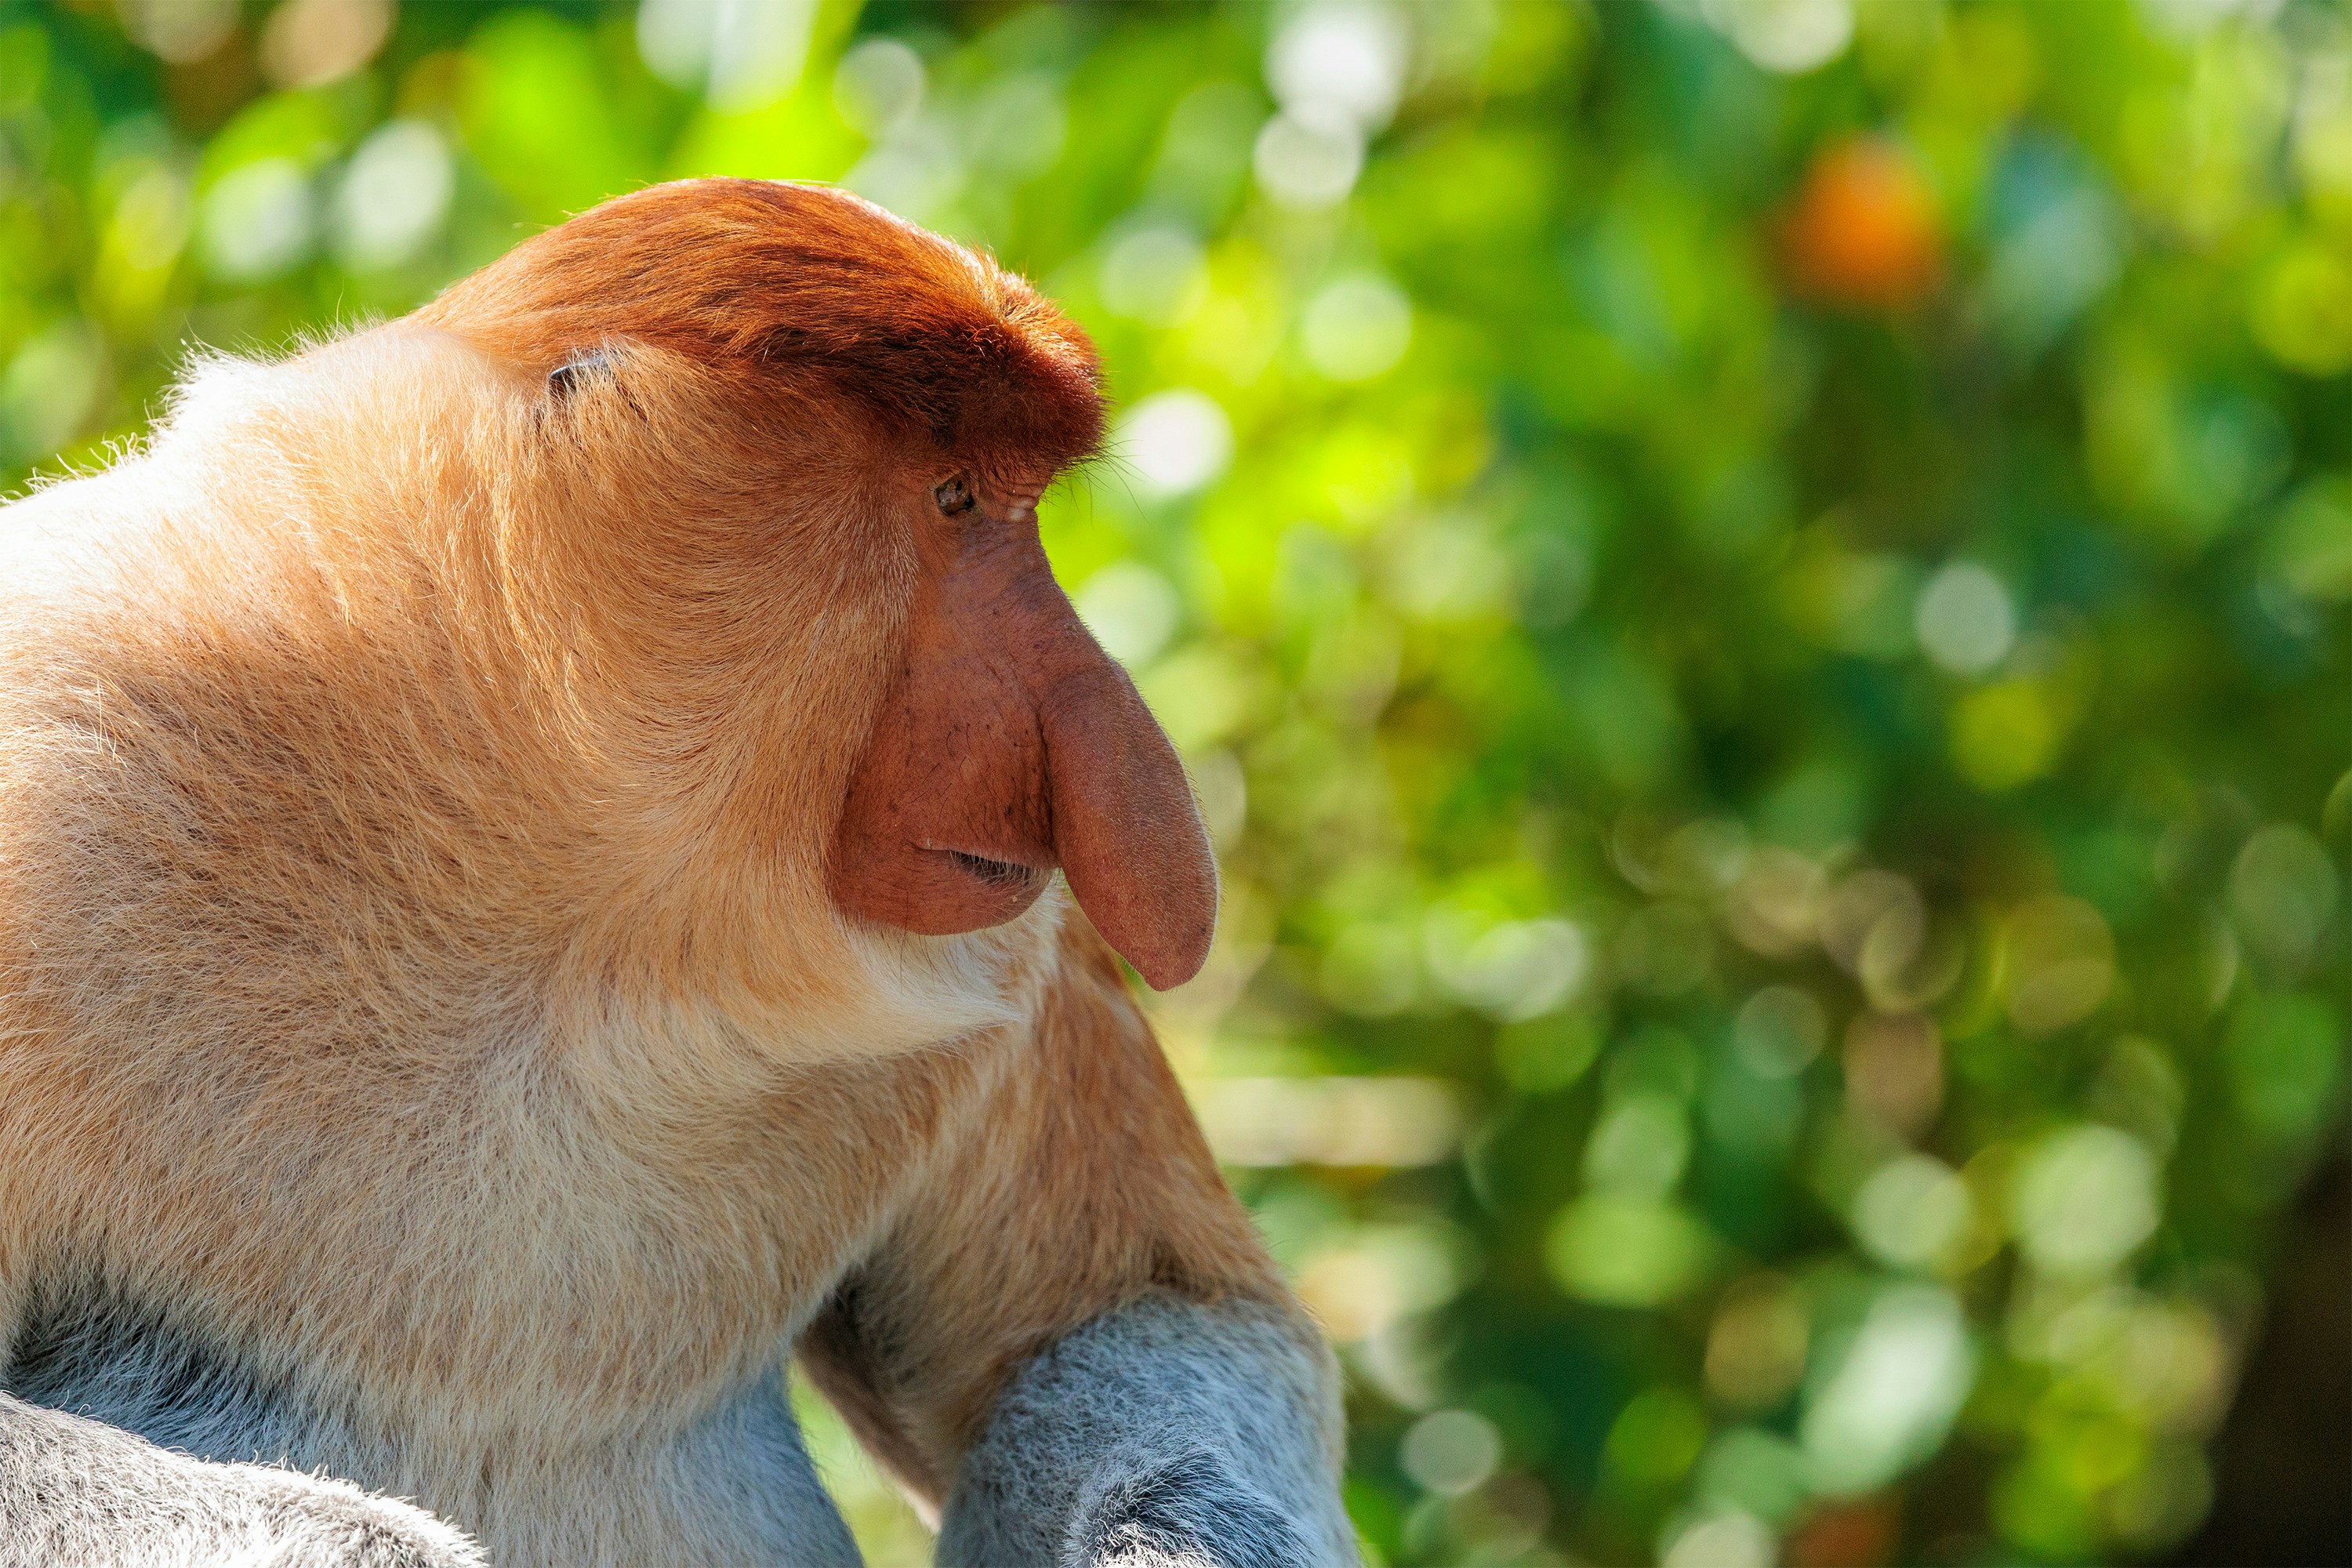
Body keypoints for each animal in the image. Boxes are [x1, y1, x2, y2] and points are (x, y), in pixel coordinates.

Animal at [0, 179, 1357, 1567]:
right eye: (957, 500)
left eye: (1012, 505)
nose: (1103, 725)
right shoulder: (43, 800)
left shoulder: (1009, 951)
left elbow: (1144, 1315)